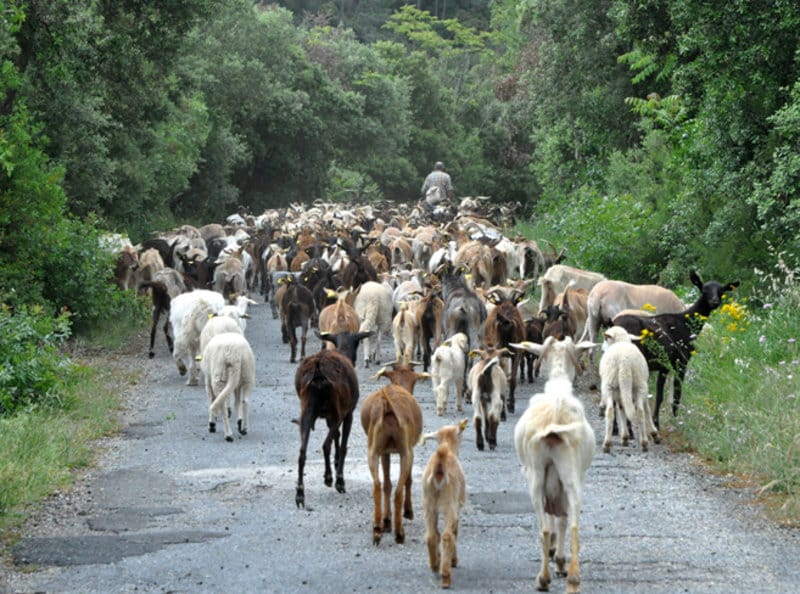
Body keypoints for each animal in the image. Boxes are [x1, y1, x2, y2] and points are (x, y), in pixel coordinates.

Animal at [294, 344, 360, 506]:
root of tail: (318, 375)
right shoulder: (348, 412)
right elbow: (342, 445)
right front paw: (338, 476)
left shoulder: (328, 417)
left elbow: (337, 436)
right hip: (338, 411)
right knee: (325, 444)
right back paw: (334, 480)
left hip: (307, 411)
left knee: (302, 452)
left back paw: (300, 493)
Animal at [360, 358, 428, 544]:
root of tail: (388, 405)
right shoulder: (409, 449)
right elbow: (406, 481)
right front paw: (408, 512)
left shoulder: (385, 452)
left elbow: (387, 484)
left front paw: (386, 521)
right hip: (405, 452)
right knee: (399, 489)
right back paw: (399, 532)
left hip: (373, 451)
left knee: (378, 485)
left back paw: (377, 528)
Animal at [516, 336, 596, 588]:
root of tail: (555, 420)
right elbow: (560, 517)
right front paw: (558, 558)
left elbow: (553, 518)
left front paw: (555, 556)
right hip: (570, 475)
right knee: (573, 522)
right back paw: (573, 574)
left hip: (537, 474)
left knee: (544, 527)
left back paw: (544, 578)